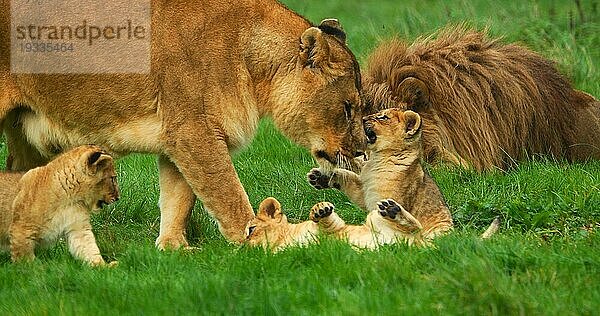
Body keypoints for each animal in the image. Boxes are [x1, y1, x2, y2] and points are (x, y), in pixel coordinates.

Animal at [0, 2, 366, 249]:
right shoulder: (193, 131)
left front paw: (174, 248)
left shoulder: (179, 136)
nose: (362, 151)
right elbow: (228, 194)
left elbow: (178, 198)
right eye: (348, 108)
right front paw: (258, 242)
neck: (253, 61)